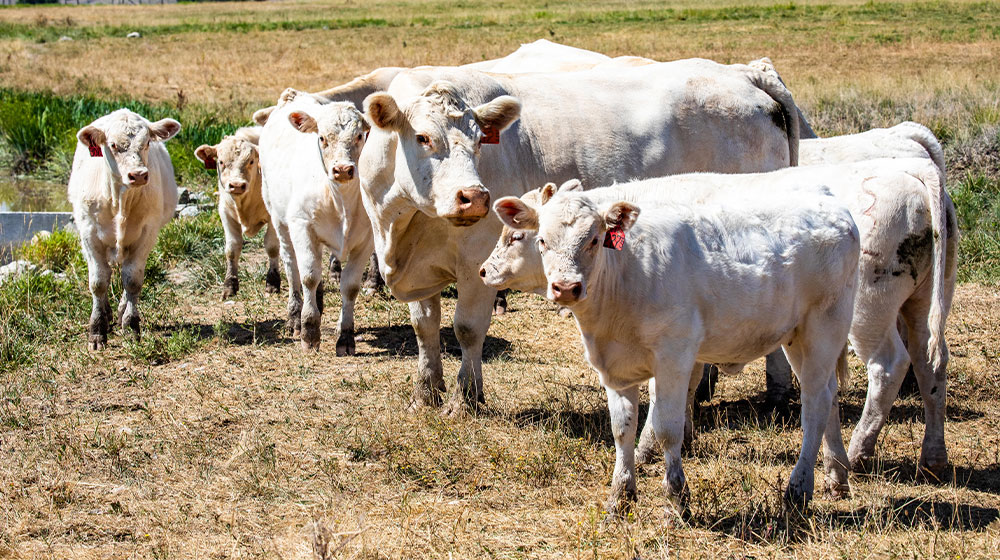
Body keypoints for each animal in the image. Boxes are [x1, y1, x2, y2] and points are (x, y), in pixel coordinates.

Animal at [68, 109, 181, 350]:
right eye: (112, 145)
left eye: (147, 143)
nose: (138, 174)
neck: (120, 201)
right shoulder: (89, 233)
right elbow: (98, 281)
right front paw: (97, 331)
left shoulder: (147, 232)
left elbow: (132, 280)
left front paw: (131, 326)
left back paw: (120, 312)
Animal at [194, 127, 280, 300]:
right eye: (221, 162)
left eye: (251, 161)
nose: (237, 185)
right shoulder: (226, 213)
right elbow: (232, 249)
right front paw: (229, 285)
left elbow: (272, 246)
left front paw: (273, 282)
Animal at [359, 59, 801, 414]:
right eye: (423, 137)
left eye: (480, 139)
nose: (475, 197)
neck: (403, 226)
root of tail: (740, 72)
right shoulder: (422, 268)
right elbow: (424, 327)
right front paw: (425, 393)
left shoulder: (475, 265)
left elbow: (466, 328)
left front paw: (464, 400)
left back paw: (777, 393)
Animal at [493, 178, 859, 516]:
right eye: (542, 240)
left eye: (595, 240)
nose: (567, 287)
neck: (627, 276)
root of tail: (838, 209)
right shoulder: (614, 367)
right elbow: (621, 429)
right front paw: (620, 497)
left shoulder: (674, 356)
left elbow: (667, 428)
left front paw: (676, 500)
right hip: (797, 337)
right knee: (828, 395)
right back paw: (836, 477)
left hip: (824, 327)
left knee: (814, 405)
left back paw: (798, 490)